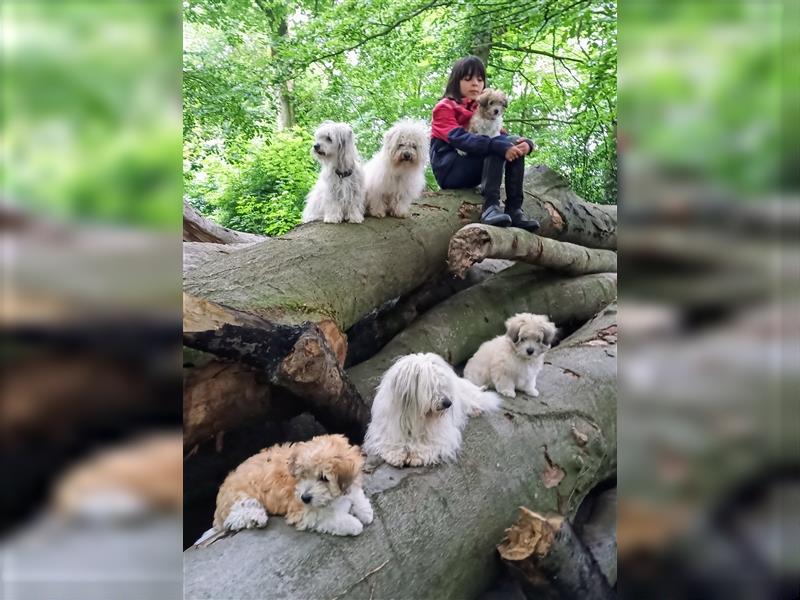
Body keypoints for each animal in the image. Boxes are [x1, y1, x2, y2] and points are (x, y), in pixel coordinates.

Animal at [364, 352, 500, 468]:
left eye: (443, 385)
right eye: (430, 386)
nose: (448, 403)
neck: (413, 416)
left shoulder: (441, 432)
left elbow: (430, 442)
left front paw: (416, 456)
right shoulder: (385, 427)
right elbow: (389, 440)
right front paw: (396, 454)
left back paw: (476, 408)